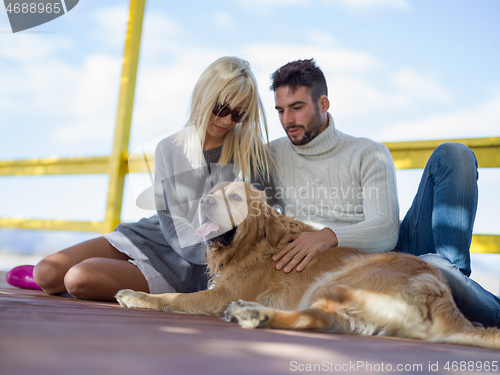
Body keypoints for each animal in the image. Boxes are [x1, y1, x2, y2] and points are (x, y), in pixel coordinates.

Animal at [117, 182, 500, 350]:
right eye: (212, 191)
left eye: (236, 197)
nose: (204, 201)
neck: (254, 245)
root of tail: (435, 287)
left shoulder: (220, 294)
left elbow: (175, 298)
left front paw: (137, 296)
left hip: (337, 281)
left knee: (317, 317)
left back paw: (255, 314)